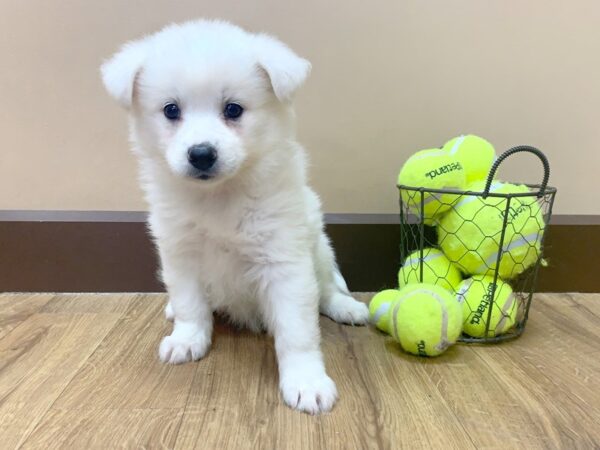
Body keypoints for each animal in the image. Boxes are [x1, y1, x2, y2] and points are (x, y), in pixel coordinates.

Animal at [101, 21, 368, 414]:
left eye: (233, 109)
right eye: (170, 110)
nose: (201, 154)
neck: (219, 196)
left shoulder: (284, 259)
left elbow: (297, 330)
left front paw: (306, 381)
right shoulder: (180, 252)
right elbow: (190, 303)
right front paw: (187, 338)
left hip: (318, 248)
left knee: (327, 289)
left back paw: (347, 308)